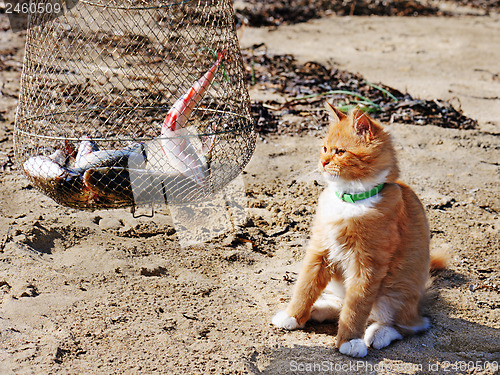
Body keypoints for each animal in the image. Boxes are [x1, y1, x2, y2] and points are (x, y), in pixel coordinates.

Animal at [272, 103, 448, 358]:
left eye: (340, 152)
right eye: (324, 148)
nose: (323, 162)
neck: (350, 199)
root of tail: (418, 304)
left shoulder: (368, 265)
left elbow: (356, 307)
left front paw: (349, 340)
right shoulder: (319, 251)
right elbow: (305, 287)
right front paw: (292, 316)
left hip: (395, 293)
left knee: (407, 325)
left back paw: (378, 334)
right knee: (341, 304)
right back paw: (320, 308)